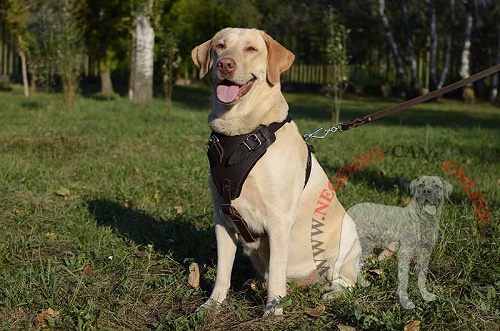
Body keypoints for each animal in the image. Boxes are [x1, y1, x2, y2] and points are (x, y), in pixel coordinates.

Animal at [190, 28, 360, 316]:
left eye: (251, 49)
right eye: (220, 46)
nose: (225, 64)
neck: (241, 133)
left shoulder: (279, 221)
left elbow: (277, 269)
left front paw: (274, 309)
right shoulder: (223, 218)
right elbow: (223, 270)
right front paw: (213, 303)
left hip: (347, 235)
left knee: (346, 281)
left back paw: (330, 293)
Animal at [348, 175, 454, 310]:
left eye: (436, 186)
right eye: (421, 185)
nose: (426, 191)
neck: (423, 220)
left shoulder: (426, 253)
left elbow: (422, 277)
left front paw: (425, 295)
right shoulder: (405, 253)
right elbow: (404, 280)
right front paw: (405, 301)